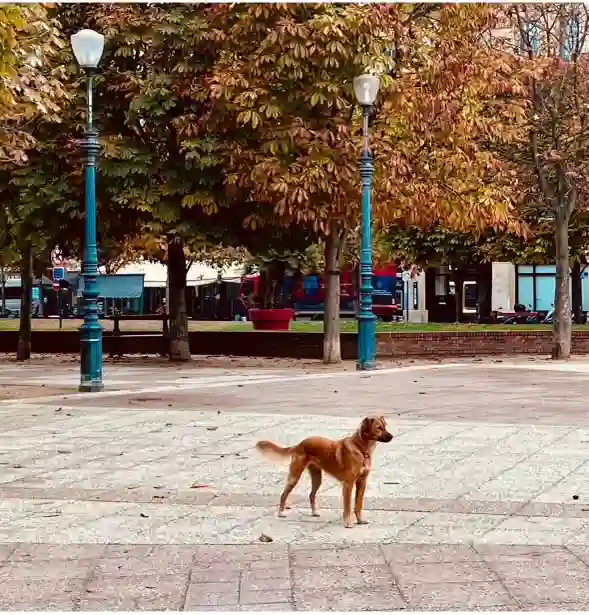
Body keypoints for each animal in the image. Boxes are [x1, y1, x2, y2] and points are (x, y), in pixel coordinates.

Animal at [255, 418, 392, 528]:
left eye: (385, 426)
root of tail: (299, 444)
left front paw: (360, 520)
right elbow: (348, 507)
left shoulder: (362, 483)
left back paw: (314, 512)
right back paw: (281, 512)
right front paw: (348, 523)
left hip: (317, 478)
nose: (392, 436)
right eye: (379, 428)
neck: (361, 449)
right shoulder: (348, 484)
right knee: (283, 494)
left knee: (311, 495)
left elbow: (358, 505)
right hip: (294, 476)